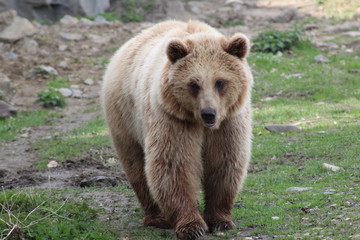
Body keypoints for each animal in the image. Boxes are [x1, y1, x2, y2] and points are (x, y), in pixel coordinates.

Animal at [101, 19, 253, 239]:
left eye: (220, 82)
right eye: (194, 83)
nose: (209, 113)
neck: (199, 124)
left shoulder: (228, 122)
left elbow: (224, 162)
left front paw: (220, 220)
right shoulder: (173, 119)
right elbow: (174, 165)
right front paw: (192, 226)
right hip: (124, 119)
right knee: (136, 166)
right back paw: (157, 217)